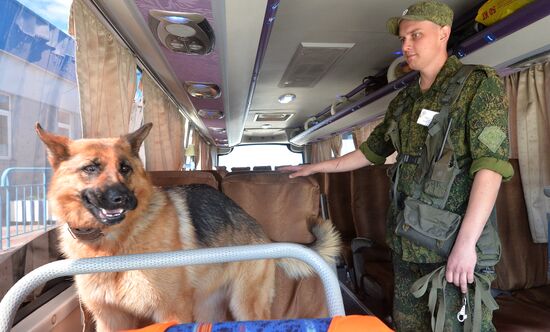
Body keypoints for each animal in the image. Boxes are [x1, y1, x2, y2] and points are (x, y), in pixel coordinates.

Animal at [35, 122, 340, 332]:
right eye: (91, 168)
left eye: (125, 168)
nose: (123, 198)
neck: (114, 244)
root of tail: (263, 234)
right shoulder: (111, 319)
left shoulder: (171, 312)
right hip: (208, 308)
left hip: (245, 306)